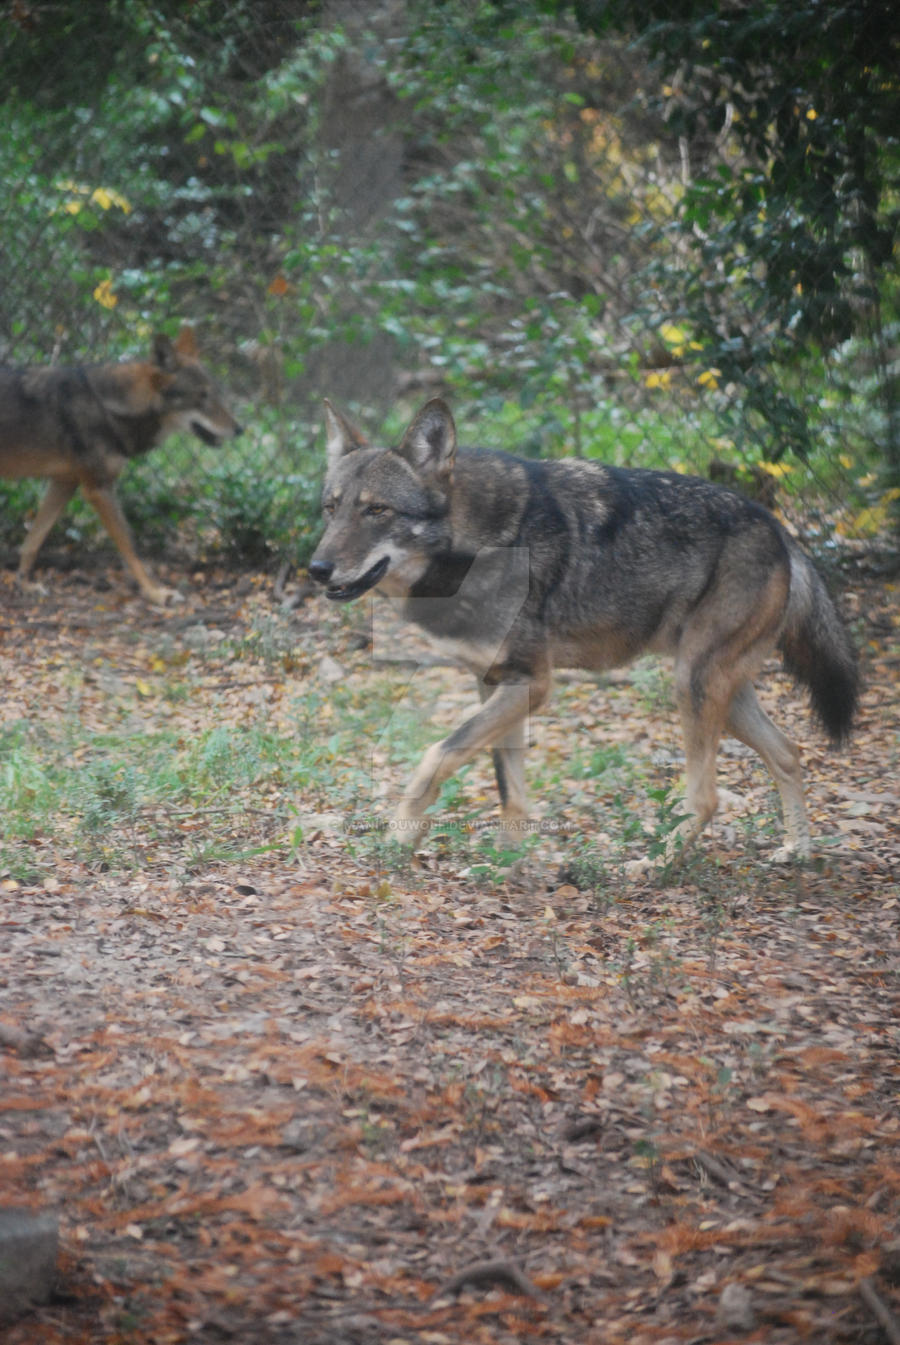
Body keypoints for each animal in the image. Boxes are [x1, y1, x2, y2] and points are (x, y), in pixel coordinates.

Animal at [0, 325, 240, 605]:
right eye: (202, 397)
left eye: (216, 394)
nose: (240, 429)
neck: (111, 405)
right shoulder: (98, 489)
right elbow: (131, 547)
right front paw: (156, 592)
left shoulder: (64, 483)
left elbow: (33, 541)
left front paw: (24, 584)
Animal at [309, 392, 855, 866]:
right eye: (331, 508)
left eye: (377, 510)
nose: (316, 569)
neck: (477, 545)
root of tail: (778, 528)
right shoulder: (498, 684)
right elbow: (509, 788)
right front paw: (506, 866)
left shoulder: (533, 683)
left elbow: (435, 755)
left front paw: (401, 838)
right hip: (721, 693)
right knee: (788, 753)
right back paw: (798, 850)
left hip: (693, 687)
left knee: (707, 797)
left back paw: (654, 867)